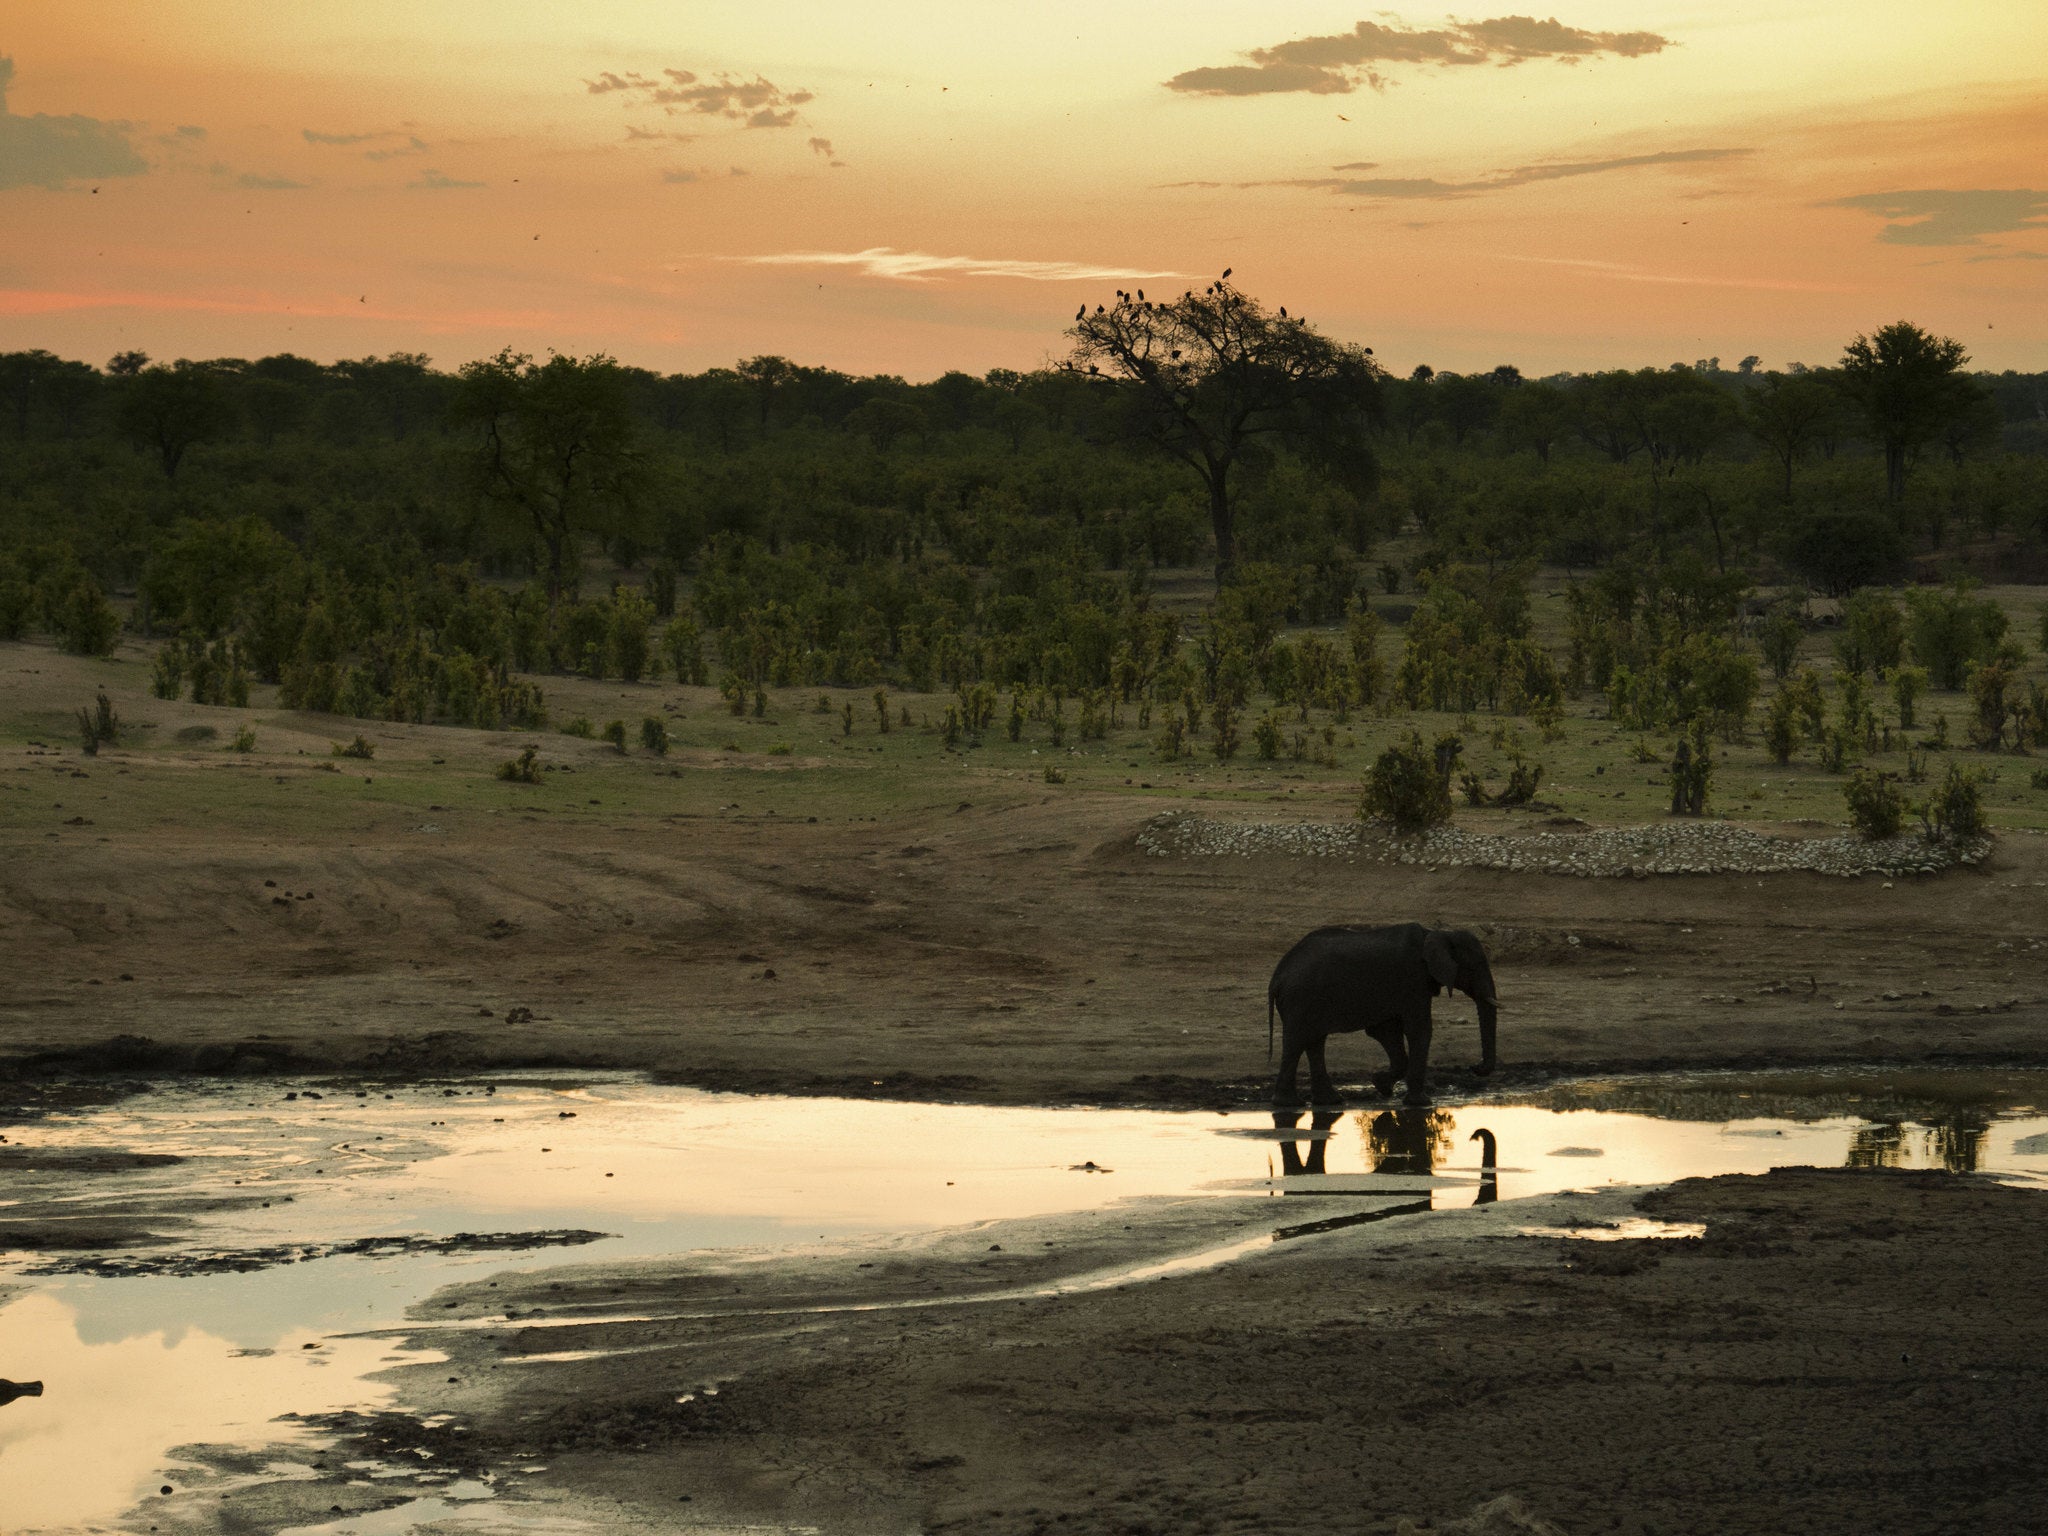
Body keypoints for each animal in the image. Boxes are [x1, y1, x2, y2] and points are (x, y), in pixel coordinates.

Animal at [1253, 921, 1499, 1114]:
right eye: (1475, 966)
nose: (1474, 1067)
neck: (1437, 933)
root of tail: (1277, 976)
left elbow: (1385, 1031)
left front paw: (1381, 1086)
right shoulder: (1413, 978)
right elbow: (1418, 1029)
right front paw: (1421, 1103)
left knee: (1314, 1041)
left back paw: (1329, 1101)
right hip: (1300, 998)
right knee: (1297, 1041)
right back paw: (1290, 1104)